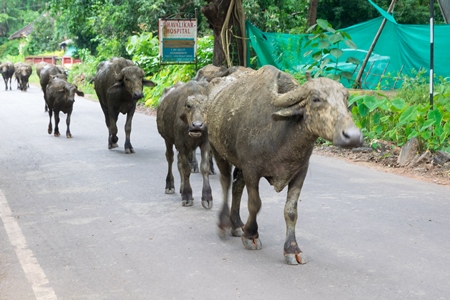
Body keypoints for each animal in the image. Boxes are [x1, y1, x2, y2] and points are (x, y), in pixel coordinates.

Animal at [157, 79, 214, 209]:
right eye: (188, 106)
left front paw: (207, 197)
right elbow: (186, 168)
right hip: (168, 140)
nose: (197, 125)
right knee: (170, 158)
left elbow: (204, 167)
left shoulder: (206, 143)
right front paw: (187, 196)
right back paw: (170, 186)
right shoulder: (181, 144)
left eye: (206, 107)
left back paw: (181, 188)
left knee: (178, 163)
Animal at [206, 65, 364, 264]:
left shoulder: (300, 172)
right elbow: (255, 204)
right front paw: (251, 235)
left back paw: (236, 225)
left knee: (236, 186)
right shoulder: (252, 170)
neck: (281, 134)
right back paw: (224, 224)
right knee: (226, 183)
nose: (354, 136)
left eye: (345, 98)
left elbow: (291, 211)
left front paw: (291, 249)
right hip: (217, 150)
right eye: (316, 99)